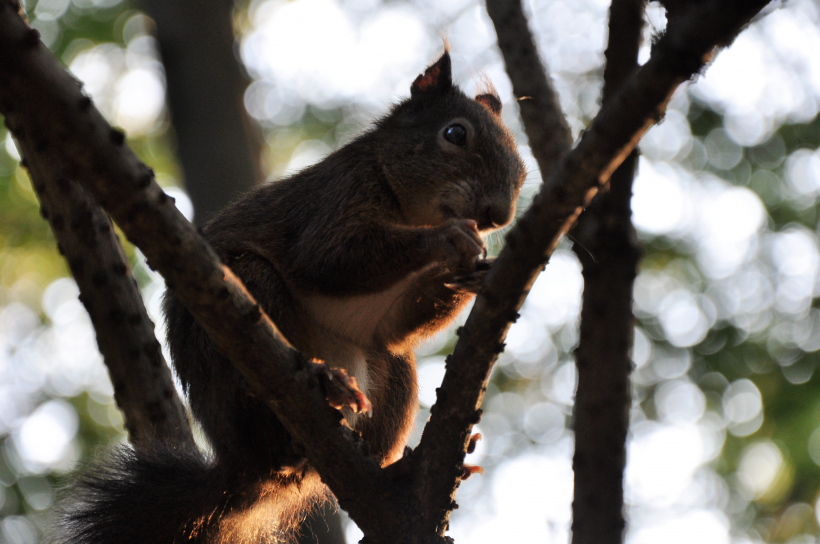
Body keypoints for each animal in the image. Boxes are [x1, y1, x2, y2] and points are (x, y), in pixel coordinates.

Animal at [62, 52, 524, 544]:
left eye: (521, 163)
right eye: (455, 134)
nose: (498, 215)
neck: (411, 211)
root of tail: (242, 470)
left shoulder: (391, 319)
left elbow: (397, 326)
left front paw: (475, 271)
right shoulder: (336, 198)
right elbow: (332, 258)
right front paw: (449, 240)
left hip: (392, 376)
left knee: (388, 368)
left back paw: (396, 469)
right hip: (248, 308)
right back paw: (321, 385)